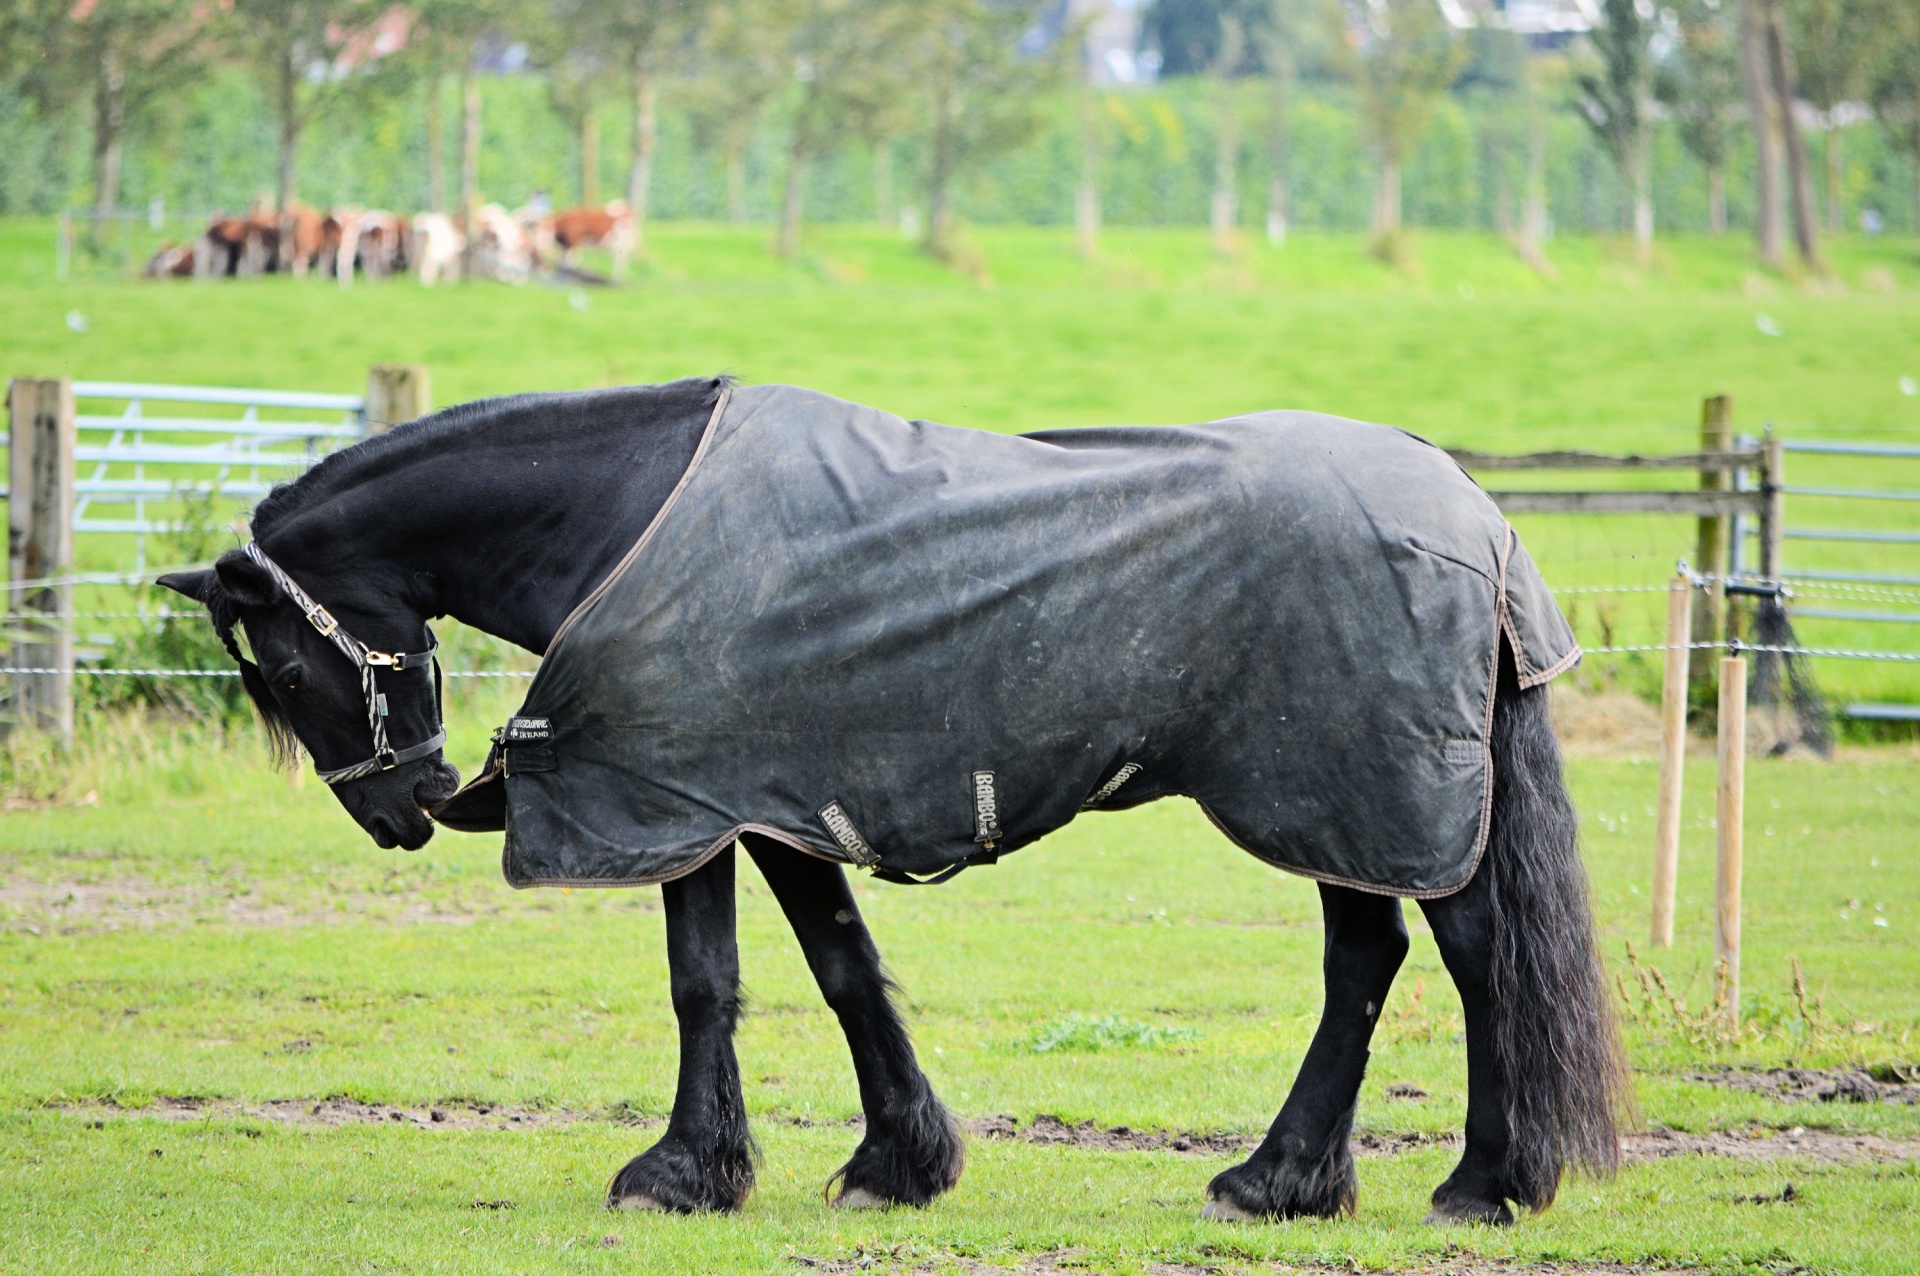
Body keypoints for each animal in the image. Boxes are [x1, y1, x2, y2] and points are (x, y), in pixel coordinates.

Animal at [165, 376, 1628, 1228]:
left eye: (281, 668)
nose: (403, 807)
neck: (626, 513)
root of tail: (1476, 515)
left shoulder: (685, 800)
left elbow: (718, 983)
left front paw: (683, 1174)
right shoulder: (758, 803)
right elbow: (826, 967)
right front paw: (887, 1160)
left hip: (1363, 795)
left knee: (1458, 954)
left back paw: (1474, 1183)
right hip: (1342, 803)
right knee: (1373, 960)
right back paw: (1295, 1181)